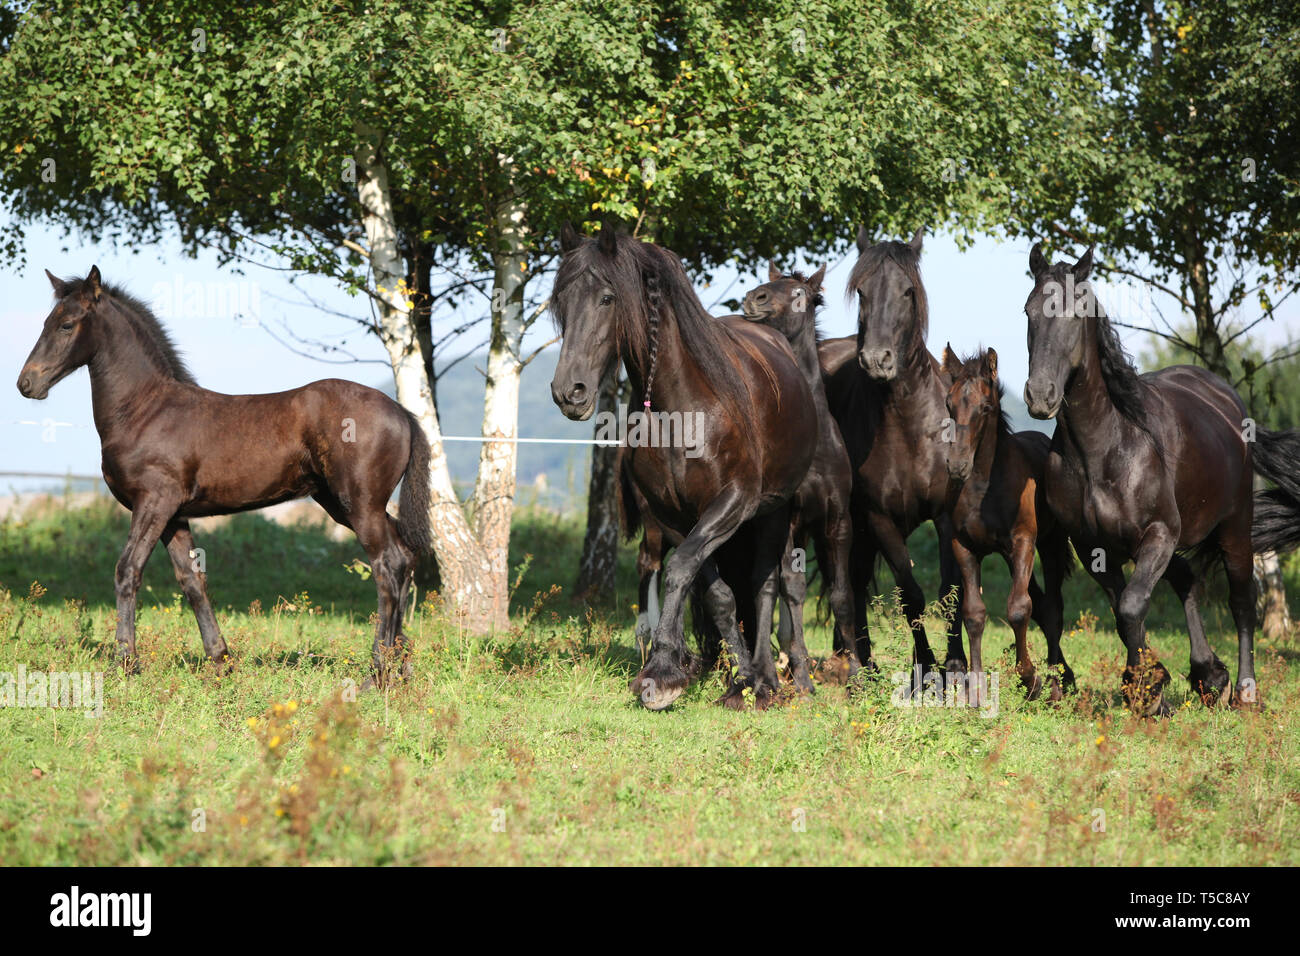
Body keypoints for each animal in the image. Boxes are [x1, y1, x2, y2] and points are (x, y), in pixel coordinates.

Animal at [16, 265, 431, 686]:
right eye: (46, 322)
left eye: (66, 325)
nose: (26, 383)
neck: (146, 409)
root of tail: (401, 413)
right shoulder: (173, 514)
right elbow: (192, 580)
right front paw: (220, 661)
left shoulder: (153, 503)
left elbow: (127, 570)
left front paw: (125, 663)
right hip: (343, 503)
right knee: (404, 557)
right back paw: (402, 665)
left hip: (359, 503)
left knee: (386, 566)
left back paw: (376, 673)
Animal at [546, 222, 811, 702]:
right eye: (562, 301)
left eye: (607, 298)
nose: (568, 392)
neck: (683, 408)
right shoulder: (672, 515)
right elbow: (712, 591)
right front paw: (724, 673)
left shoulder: (733, 502)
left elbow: (682, 569)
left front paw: (666, 670)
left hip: (775, 510)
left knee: (767, 584)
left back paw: (772, 678)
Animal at [743, 260, 863, 686]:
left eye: (799, 294)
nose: (754, 298)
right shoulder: (787, 521)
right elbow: (792, 589)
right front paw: (802, 676)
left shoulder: (837, 520)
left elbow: (842, 594)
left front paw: (856, 672)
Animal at [821, 227, 967, 681]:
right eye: (862, 291)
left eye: (907, 291)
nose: (877, 359)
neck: (907, 426)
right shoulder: (878, 518)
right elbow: (910, 594)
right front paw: (925, 668)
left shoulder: (945, 514)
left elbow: (950, 588)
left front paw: (955, 663)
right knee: (851, 580)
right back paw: (859, 662)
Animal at [941, 345, 1071, 702]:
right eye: (949, 403)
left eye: (985, 408)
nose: (957, 466)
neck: (985, 487)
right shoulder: (963, 547)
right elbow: (973, 613)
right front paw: (975, 690)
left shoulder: (1023, 542)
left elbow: (1017, 608)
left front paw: (1030, 679)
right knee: (1043, 606)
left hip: (1050, 546)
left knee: (1052, 609)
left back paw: (1054, 686)